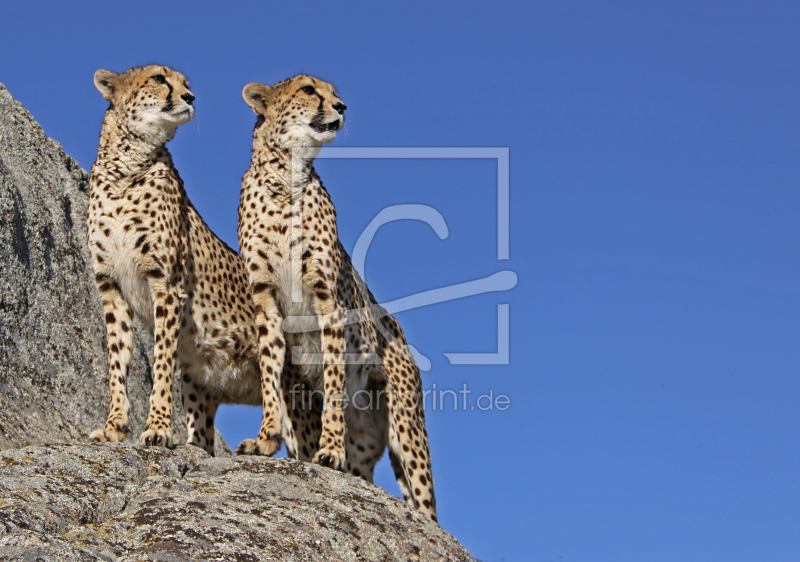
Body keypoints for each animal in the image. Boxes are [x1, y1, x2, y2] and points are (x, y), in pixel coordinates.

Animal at [87, 65, 278, 450]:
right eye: (159, 79)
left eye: (186, 84)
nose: (190, 97)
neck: (125, 168)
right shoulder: (111, 288)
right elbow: (117, 361)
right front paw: (114, 426)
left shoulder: (166, 285)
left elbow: (162, 360)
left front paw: (158, 427)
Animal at [238, 75, 438, 520]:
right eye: (309, 90)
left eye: (333, 91)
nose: (342, 106)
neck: (286, 179)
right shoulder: (266, 301)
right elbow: (270, 372)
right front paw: (265, 438)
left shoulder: (327, 302)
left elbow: (331, 380)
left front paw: (329, 449)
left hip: (406, 429)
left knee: (426, 505)